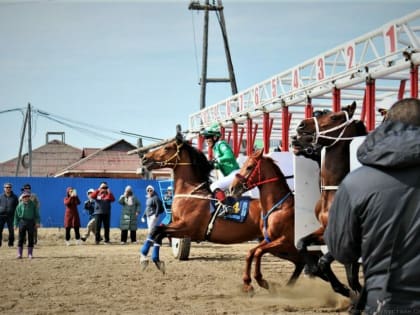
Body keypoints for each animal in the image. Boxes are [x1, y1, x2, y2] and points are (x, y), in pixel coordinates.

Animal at [228, 150, 304, 294]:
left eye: (249, 167)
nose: (232, 188)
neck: (280, 207)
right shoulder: (269, 240)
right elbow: (251, 252)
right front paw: (247, 283)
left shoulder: (285, 241)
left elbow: (258, 252)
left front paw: (260, 280)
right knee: (301, 263)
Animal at [294, 102, 366, 302]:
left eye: (334, 117)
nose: (301, 126)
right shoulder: (325, 229)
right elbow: (302, 244)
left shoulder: (347, 236)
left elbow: (325, 261)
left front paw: (347, 290)